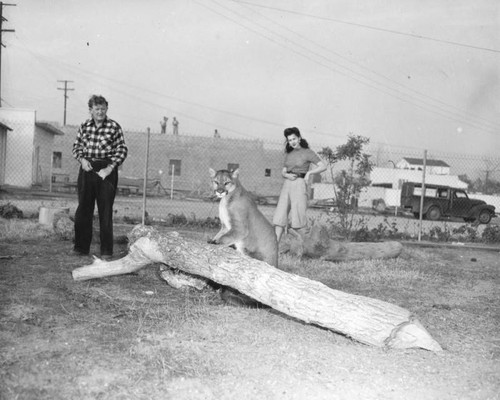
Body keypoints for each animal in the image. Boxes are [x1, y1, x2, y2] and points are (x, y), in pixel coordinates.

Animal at [207, 168, 278, 306]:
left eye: (226, 182)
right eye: (216, 182)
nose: (219, 191)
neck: (226, 200)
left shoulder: (239, 229)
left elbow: (225, 238)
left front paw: (215, 243)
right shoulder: (225, 227)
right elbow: (220, 235)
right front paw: (212, 240)